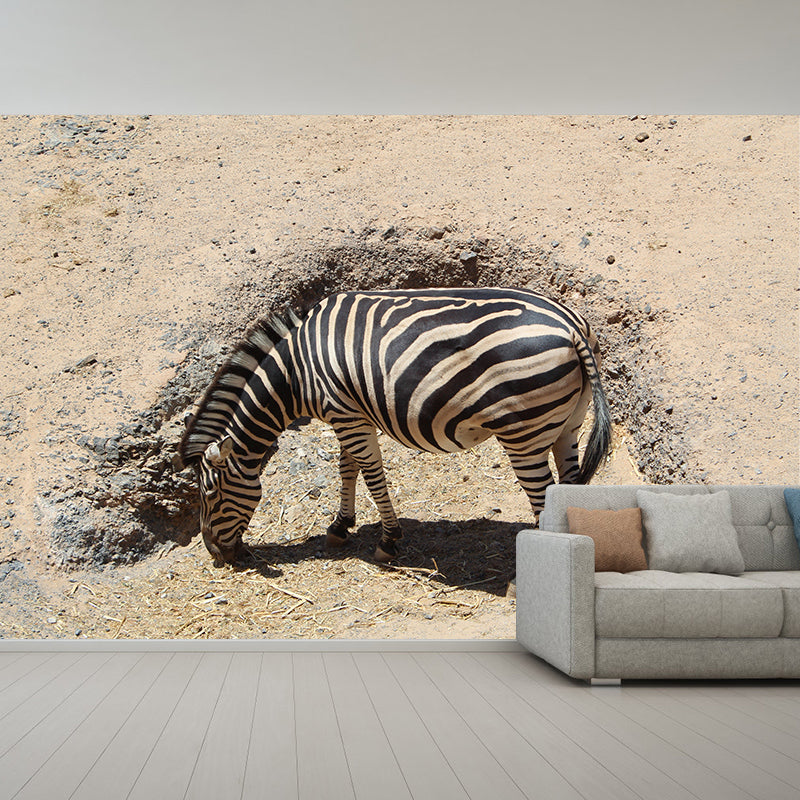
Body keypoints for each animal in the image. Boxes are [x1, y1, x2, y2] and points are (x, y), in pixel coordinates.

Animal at [179, 287, 611, 566]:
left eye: (210, 495)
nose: (216, 555)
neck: (296, 373)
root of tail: (571, 325)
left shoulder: (346, 414)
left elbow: (371, 473)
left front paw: (388, 541)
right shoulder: (349, 412)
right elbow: (347, 467)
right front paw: (340, 526)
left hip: (523, 433)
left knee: (541, 496)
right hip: (568, 423)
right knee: (570, 485)